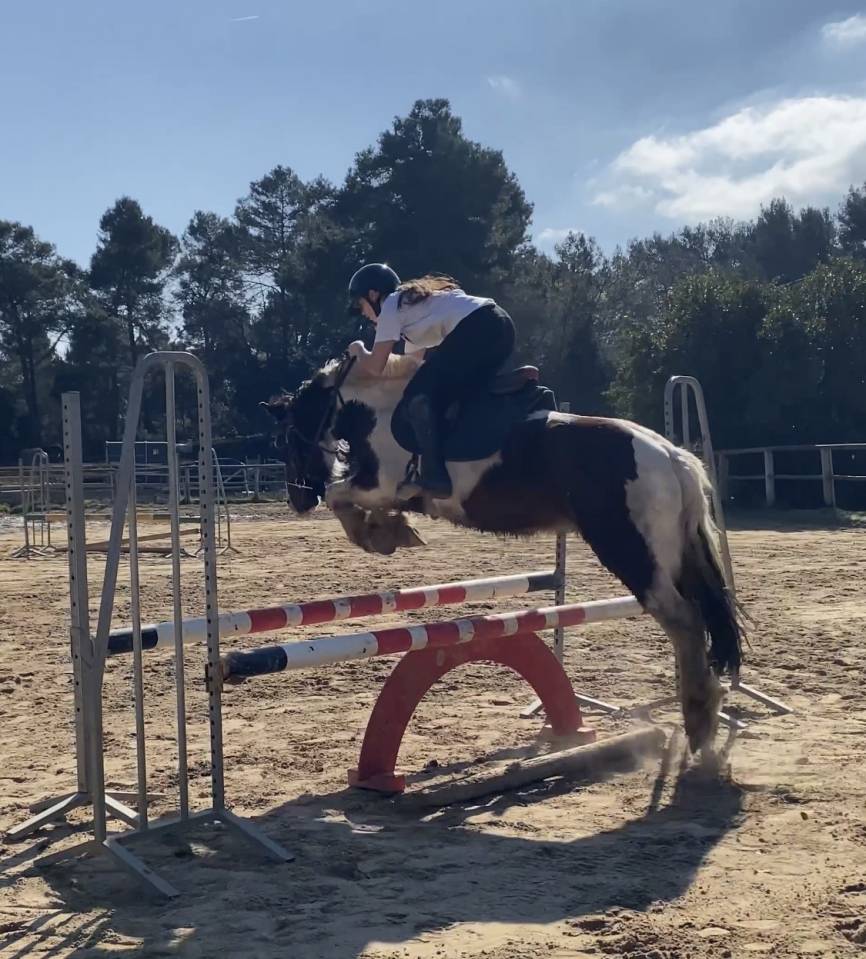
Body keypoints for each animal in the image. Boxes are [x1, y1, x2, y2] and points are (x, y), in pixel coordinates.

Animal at [261, 353, 743, 756]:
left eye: (285, 438)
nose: (297, 500)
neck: (377, 411)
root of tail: (671, 455)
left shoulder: (380, 483)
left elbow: (340, 497)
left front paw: (379, 534)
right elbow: (352, 499)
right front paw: (391, 529)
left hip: (630, 550)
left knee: (682, 619)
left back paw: (698, 719)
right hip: (668, 555)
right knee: (693, 618)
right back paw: (704, 714)